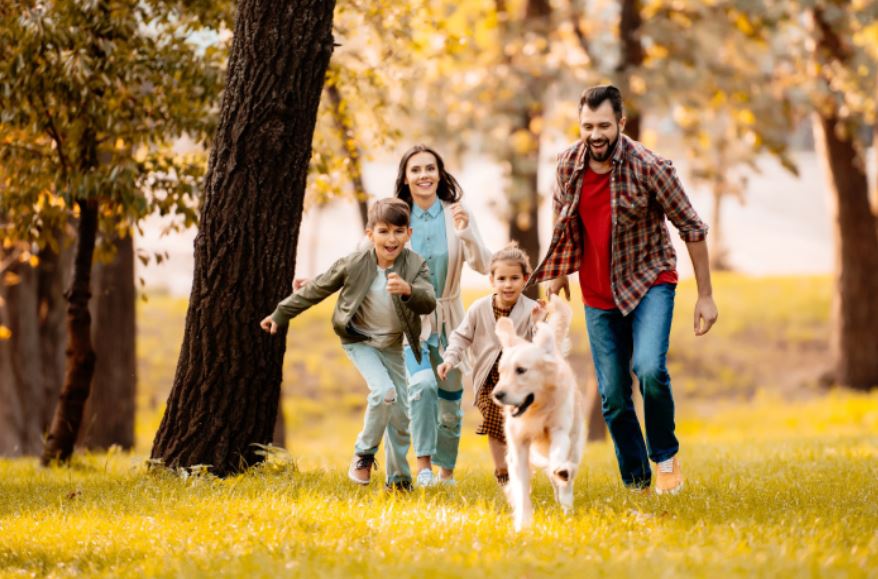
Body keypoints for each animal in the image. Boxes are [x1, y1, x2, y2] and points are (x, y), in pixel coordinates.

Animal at [496, 296, 584, 532]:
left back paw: (566, 504)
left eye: (521, 370)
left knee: (567, 475)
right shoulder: (518, 445)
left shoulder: (559, 430)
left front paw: (561, 472)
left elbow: (559, 458)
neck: (537, 410)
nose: (497, 394)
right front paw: (522, 524)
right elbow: (521, 488)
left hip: (575, 442)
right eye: (501, 372)